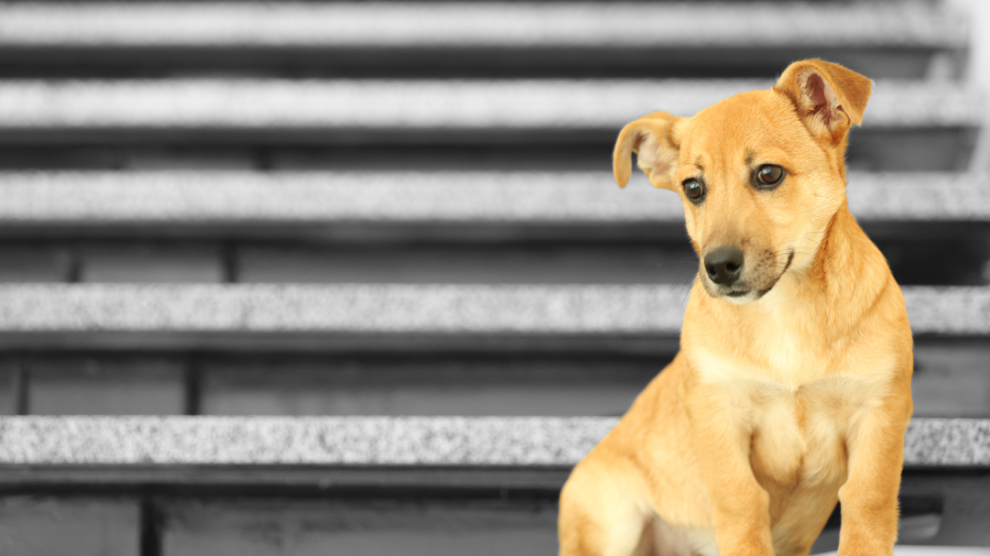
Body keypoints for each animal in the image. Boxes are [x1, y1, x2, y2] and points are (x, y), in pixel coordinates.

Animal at [560, 60, 920, 556]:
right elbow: (742, 504)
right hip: (609, 522)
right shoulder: (720, 415)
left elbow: (868, 505)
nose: (718, 267)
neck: (784, 309)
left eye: (768, 174)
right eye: (693, 188)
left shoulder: (879, 412)